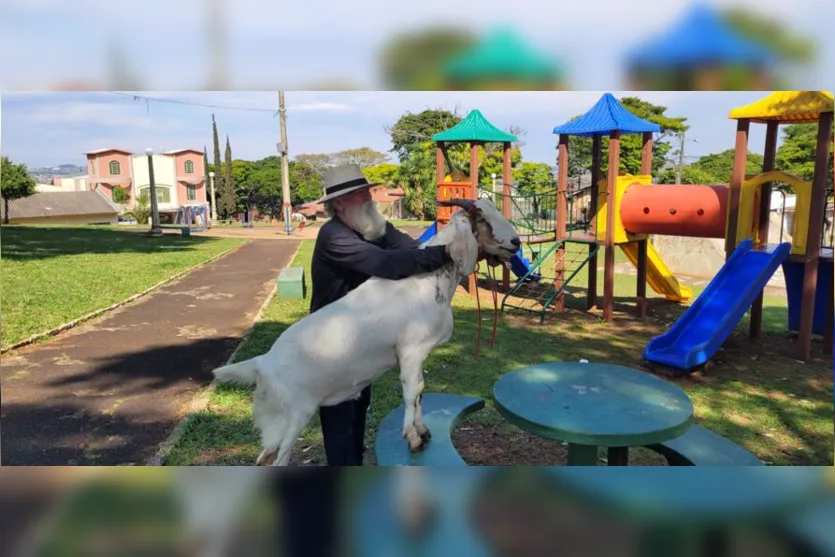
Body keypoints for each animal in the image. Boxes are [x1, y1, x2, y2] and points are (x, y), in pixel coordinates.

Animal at [212, 199, 520, 464]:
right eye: (482, 218)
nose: (516, 243)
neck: (429, 280)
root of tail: (262, 364)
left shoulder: (419, 354)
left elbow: (420, 389)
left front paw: (422, 432)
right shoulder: (410, 350)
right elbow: (411, 391)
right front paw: (412, 438)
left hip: (277, 423)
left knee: (265, 456)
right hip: (296, 414)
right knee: (280, 459)